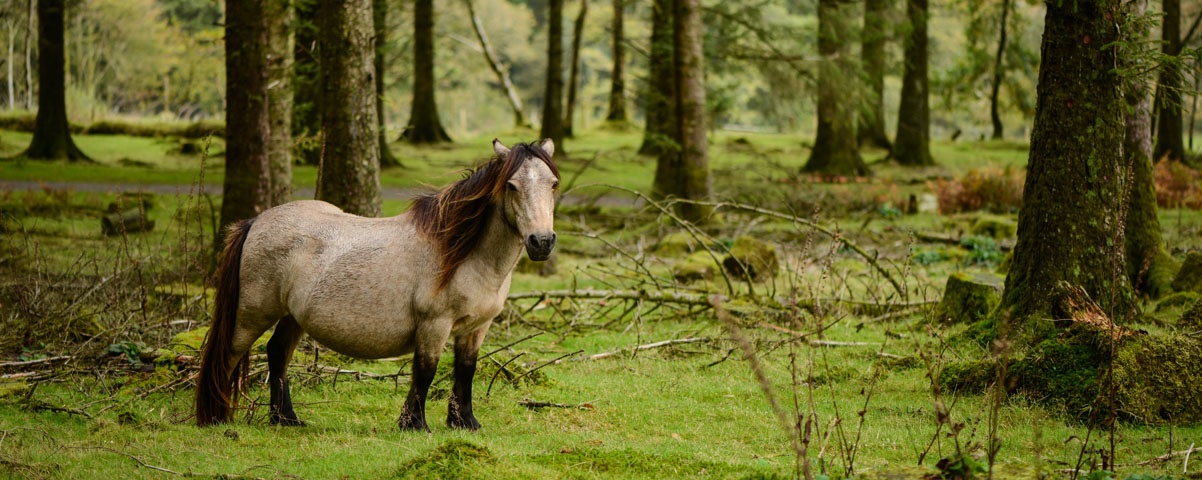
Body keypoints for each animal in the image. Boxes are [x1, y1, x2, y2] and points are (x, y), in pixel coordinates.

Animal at [193, 138, 557, 433]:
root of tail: (256, 221)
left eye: (553, 184)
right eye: (511, 185)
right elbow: (425, 370)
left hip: (293, 316)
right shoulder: (434, 325)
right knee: (228, 354)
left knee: (277, 353)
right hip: (251, 314)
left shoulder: (476, 328)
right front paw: (415, 425)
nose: (541, 241)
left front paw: (464, 423)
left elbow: (465, 371)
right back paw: (217, 418)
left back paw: (285, 419)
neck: (465, 255)